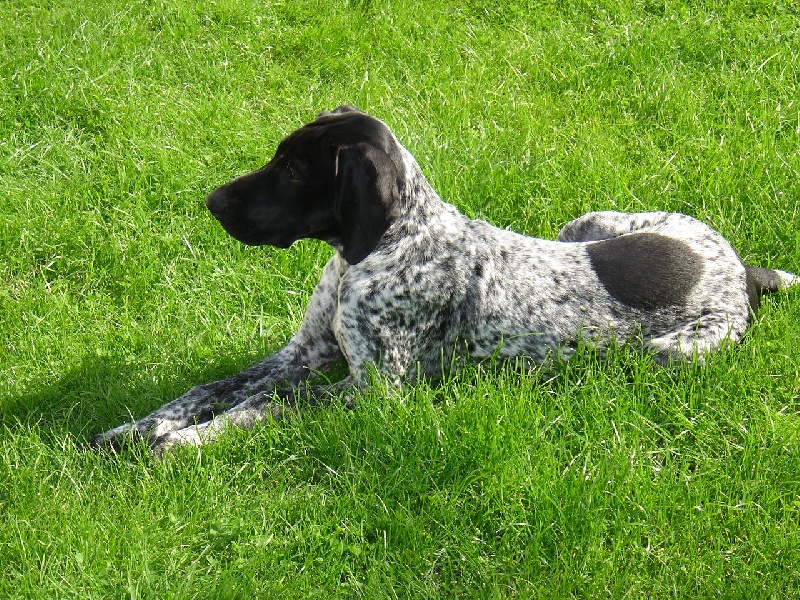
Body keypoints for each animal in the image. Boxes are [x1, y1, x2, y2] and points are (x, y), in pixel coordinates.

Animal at [90, 105, 796, 452]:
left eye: (292, 169)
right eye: (278, 156)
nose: (212, 202)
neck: (382, 246)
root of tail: (742, 271)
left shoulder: (373, 390)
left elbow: (263, 407)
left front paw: (184, 442)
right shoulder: (301, 356)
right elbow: (209, 389)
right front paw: (139, 429)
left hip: (669, 354)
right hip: (586, 223)